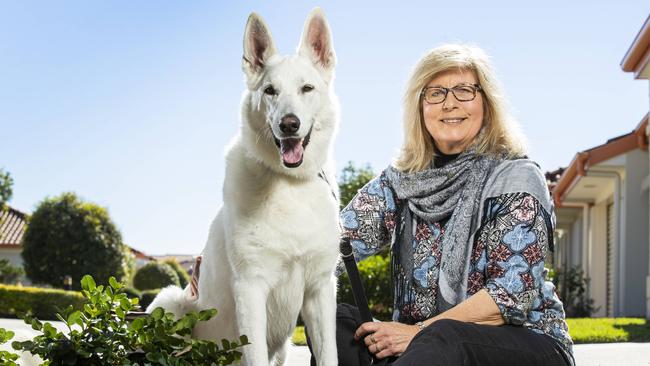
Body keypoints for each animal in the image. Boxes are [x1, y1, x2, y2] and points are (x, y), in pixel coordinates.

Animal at [147, 8, 340, 366]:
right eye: (270, 91)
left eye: (307, 88)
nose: (289, 124)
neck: (288, 184)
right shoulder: (250, 288)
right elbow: (255, 353)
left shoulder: (320, 291)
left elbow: (329, 353)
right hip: (170, 302)